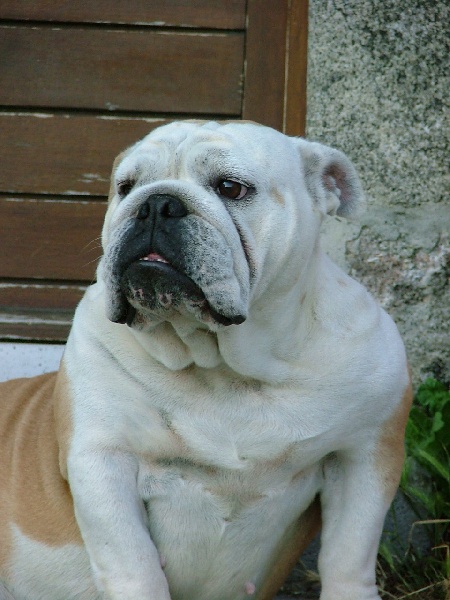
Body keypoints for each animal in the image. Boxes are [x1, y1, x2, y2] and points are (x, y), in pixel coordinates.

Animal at [0, 121, 411, 600]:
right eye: (126, 186)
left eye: (231, 187)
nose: (156, 203)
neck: (223, 364)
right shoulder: (101, 458)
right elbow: (134, 564)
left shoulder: (364, 455)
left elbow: (349, 558)